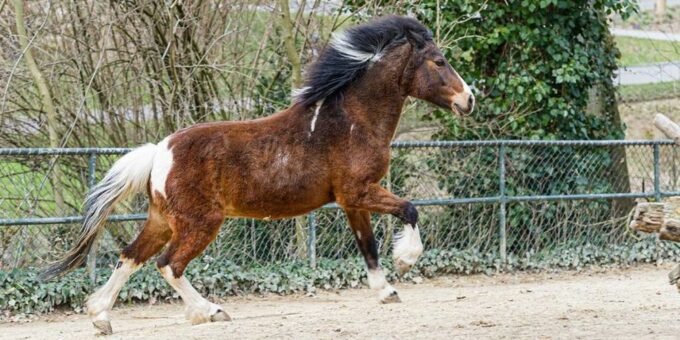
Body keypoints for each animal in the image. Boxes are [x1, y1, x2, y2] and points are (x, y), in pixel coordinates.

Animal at [41, 14, 472, 334]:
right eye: (438, 61)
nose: (468, 99)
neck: (352, 121)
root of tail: (159, 152)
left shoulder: (351, 201)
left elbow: (368, 245)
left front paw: (386, 291)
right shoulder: (360, 191)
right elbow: (410, 209)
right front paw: (405, 262)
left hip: (162, 219)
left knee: (129, 257)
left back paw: (100, 316)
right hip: (201, 222)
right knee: (168, 264)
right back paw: (209, 312)